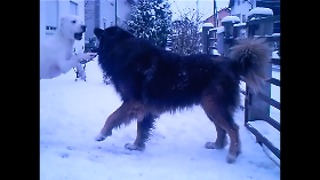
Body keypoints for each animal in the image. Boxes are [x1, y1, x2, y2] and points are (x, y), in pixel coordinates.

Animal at [92, 26, 270, 163]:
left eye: (103, 33)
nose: (93, 29)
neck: (123, 50)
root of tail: (231, 64)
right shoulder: (143, 107)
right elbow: (141, 128)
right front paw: (137, 146)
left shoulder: (133, 102)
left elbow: (113, 117)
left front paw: (101, 134)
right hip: (211, 107)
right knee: (222, 129)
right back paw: (217, 145)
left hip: (214, 106)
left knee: (233, 129)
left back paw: (232, 155)